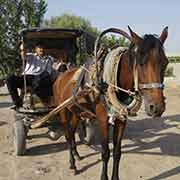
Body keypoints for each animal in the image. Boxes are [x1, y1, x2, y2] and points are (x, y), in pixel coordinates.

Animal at [52, 25, 169, 180]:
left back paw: (76, 155)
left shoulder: (121, 119)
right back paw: (72, 164)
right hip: (63, 111)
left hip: (76, 111)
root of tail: (61, 76)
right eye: (141, 63)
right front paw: (103, 176)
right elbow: (105, 152)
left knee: (71, 132)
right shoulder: (102, 120)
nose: (156, 107)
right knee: (67, 134)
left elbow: (117, 152)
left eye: (165, 62)